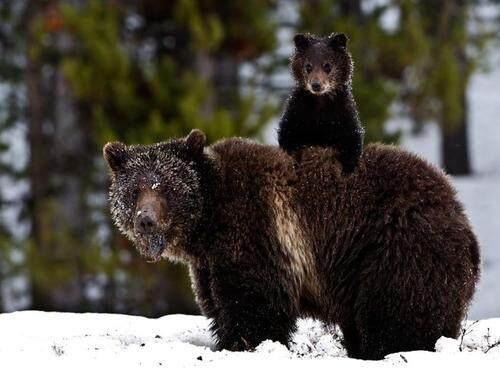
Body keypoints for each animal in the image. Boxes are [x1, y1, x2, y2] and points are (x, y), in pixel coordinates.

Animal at [102, 131, 480, 360]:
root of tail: (457, 206)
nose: (145, 220)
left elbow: (254, 304)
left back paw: (395, 350)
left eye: (166, 187)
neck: (208, 224)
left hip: (396, 247)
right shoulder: (209, 264)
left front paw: (246, 346)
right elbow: (219, 306)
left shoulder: (257, 231)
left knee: (398, 312)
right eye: (134, 190)